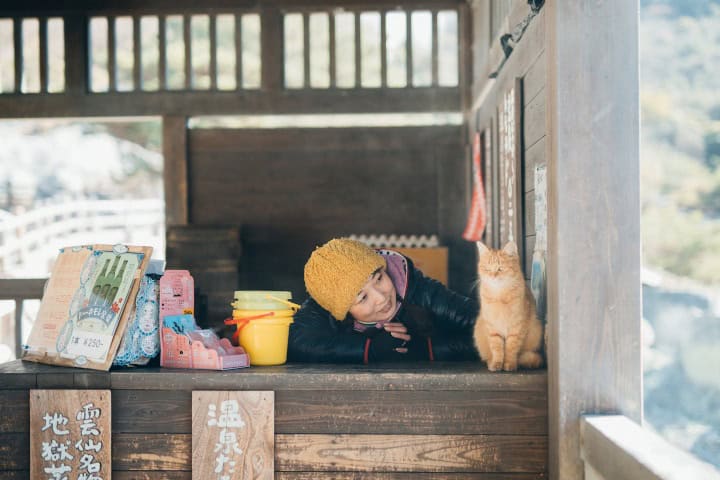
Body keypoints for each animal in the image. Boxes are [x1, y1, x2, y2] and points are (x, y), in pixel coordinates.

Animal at [470, 242, 544, 374]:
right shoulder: (493, 329)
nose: (493, 275)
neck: (500, 296)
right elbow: (497, 350)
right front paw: (497, 364)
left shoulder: (516, 329)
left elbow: (510, 349)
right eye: (487, 269)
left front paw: (509, 364)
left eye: (500, 268)